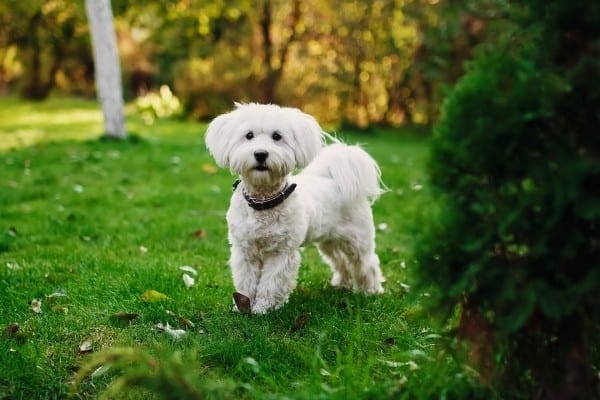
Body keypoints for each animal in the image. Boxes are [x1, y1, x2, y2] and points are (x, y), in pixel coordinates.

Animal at [205, 104, 384, 316]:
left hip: (357, 240)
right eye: (248, 135)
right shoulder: (245, 250)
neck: (264, 201)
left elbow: (271, 283)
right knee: (340, 262)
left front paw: (262, 309)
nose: (261, 154)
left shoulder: (282, 252)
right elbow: (246, 282)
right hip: (329, 241)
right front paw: (242, 306)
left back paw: (371, 290)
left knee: (366, 263)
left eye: (277, 136)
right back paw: (342, 283)